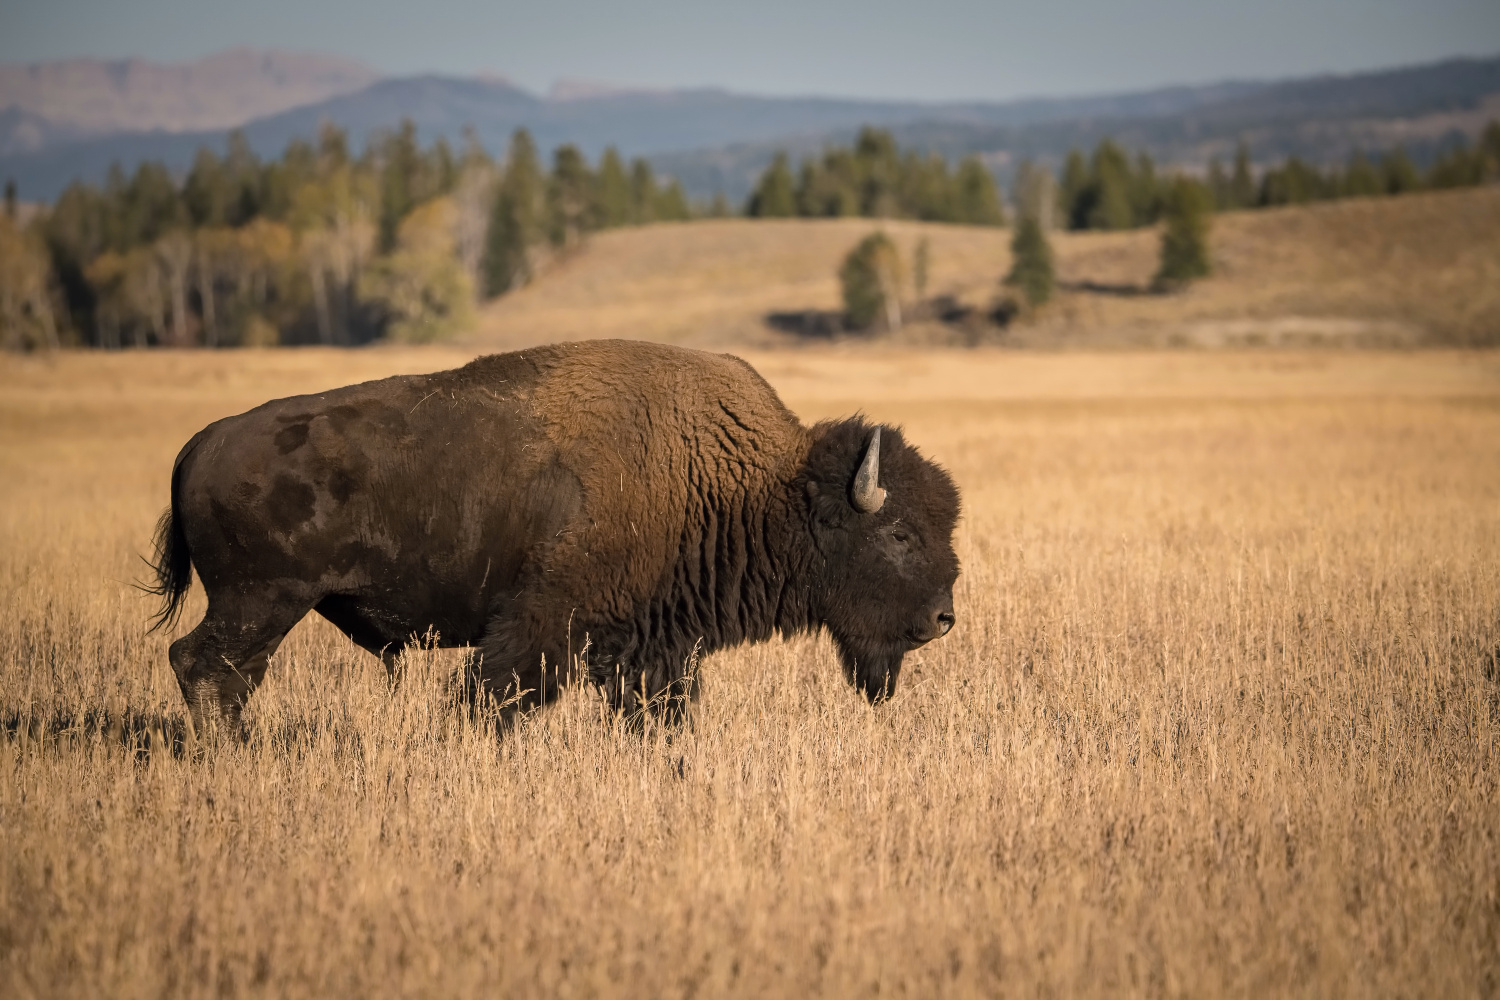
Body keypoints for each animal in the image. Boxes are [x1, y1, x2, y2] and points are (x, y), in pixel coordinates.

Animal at [149, 341, 960, 734]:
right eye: (897, 534)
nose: (945, 616)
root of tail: (204, 441)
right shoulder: (545, 624)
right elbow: (495, 695)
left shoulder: (652, 646)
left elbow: (656, 714)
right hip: (261, 602)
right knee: (205, 666)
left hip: (261, 609)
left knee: (223, 674)